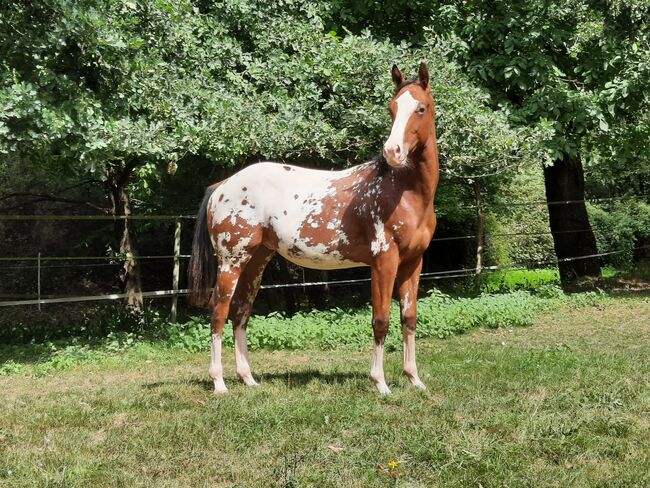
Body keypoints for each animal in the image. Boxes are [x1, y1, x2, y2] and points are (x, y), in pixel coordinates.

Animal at [188, 62, 439, 395]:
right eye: (392, 108)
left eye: (420, 108)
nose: (392, 152)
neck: (404, 192)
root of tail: (222, 186)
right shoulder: (384, 261)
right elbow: (381, 319)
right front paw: (380, 383)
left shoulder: (413, 262)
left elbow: (409, 318)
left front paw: (414, 379)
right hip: (231, 262)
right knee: (219, 313)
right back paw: (219, 382)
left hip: (256, 260)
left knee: (241, 313)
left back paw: (248, 378)